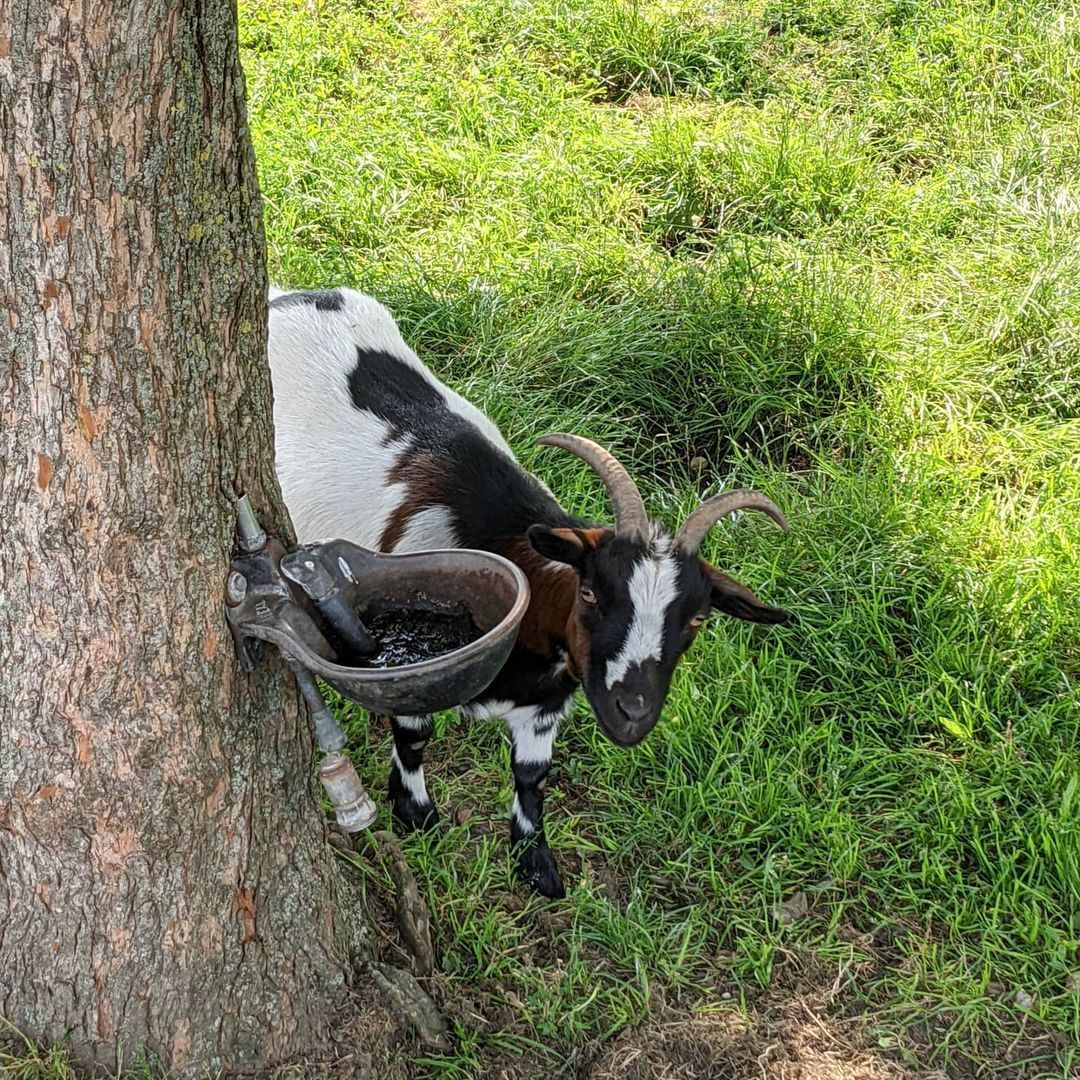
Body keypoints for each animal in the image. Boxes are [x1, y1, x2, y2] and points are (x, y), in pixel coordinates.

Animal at [268, 286, 790, 897]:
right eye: (590, 593)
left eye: (697, 620)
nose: (631, 711)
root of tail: (287, 296)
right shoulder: (408, 669)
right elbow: (414, 740)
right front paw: (414, 814)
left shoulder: (547, 705)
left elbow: (531, 776)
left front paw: (534, 861)